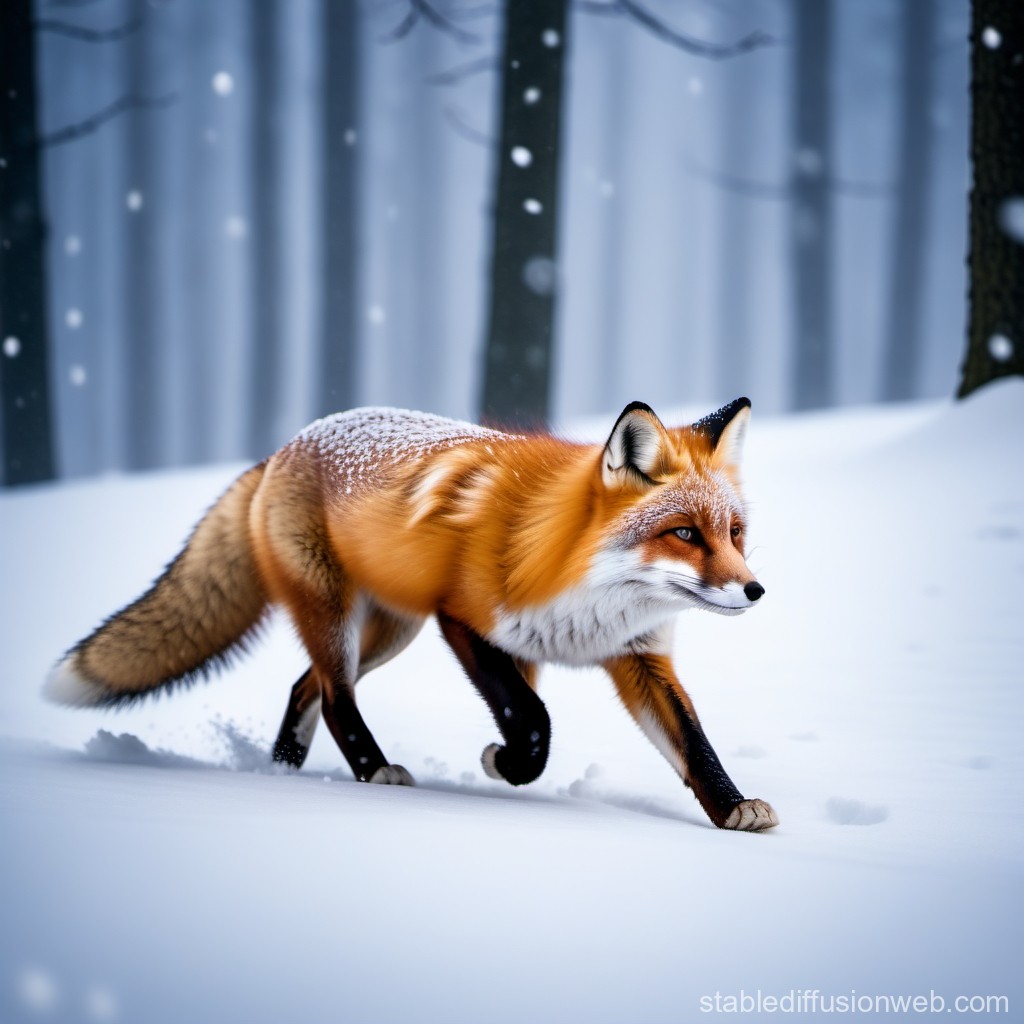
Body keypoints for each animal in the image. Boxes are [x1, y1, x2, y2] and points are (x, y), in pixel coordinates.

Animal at [45, 398, 778, 831]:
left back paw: (283, 767)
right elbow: (532, 719)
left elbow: (693, 741)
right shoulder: (465, 621)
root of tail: (284, 447)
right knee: (334, 696)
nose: (755, 591)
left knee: (304, 685)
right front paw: (506, 764)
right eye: (684, 534)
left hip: (389, 631)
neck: (579, 577)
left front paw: (731, 806)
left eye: (734, 534)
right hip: (344, 617)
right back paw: (373, 770)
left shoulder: (637, 655)